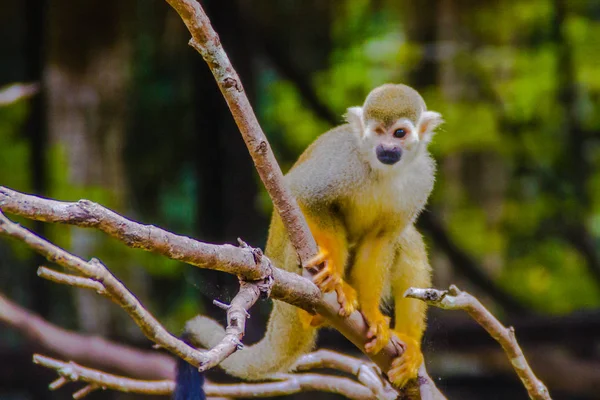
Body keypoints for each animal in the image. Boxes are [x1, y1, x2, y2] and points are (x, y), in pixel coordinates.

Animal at [185, 83, 442, 388]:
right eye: (378, 132)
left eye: (399, 133)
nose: (387, 148)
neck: (382, 169)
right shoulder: (342, 160)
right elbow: (305, 195)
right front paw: (333, 273)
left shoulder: (423, 177)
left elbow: (382, 239)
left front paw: (371, 314)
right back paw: (314, 311)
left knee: (407, 241)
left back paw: (409, 345)